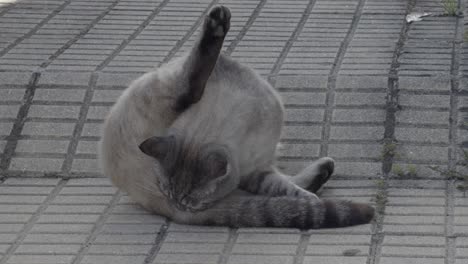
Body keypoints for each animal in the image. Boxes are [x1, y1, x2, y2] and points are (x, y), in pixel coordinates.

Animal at [100, 6, 374, 229]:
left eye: (191, 202)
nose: (179, 206)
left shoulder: (256, 170)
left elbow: (280, 187)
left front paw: (305, 199)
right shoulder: (252, 171)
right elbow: (283, 191)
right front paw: (310, 204)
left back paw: (323, 171)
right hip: (164, 92)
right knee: (190, 84)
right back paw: (217, 24)